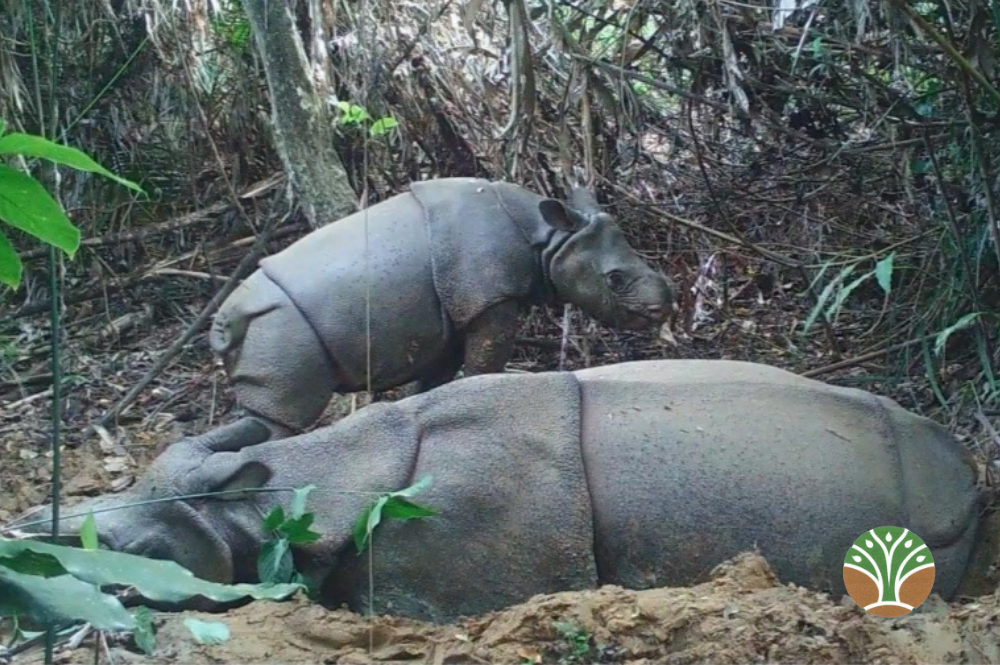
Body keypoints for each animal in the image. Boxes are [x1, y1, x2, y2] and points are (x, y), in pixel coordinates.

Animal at [208, 177, 675, 440]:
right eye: (615, 279)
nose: (663, 309)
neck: (547, 239)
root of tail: (225, 320)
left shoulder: (451, 315)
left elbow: (433, 382)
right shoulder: (490, 299)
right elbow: (484, 365)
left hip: (270, 333)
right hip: (280, 331)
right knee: (279, 422)